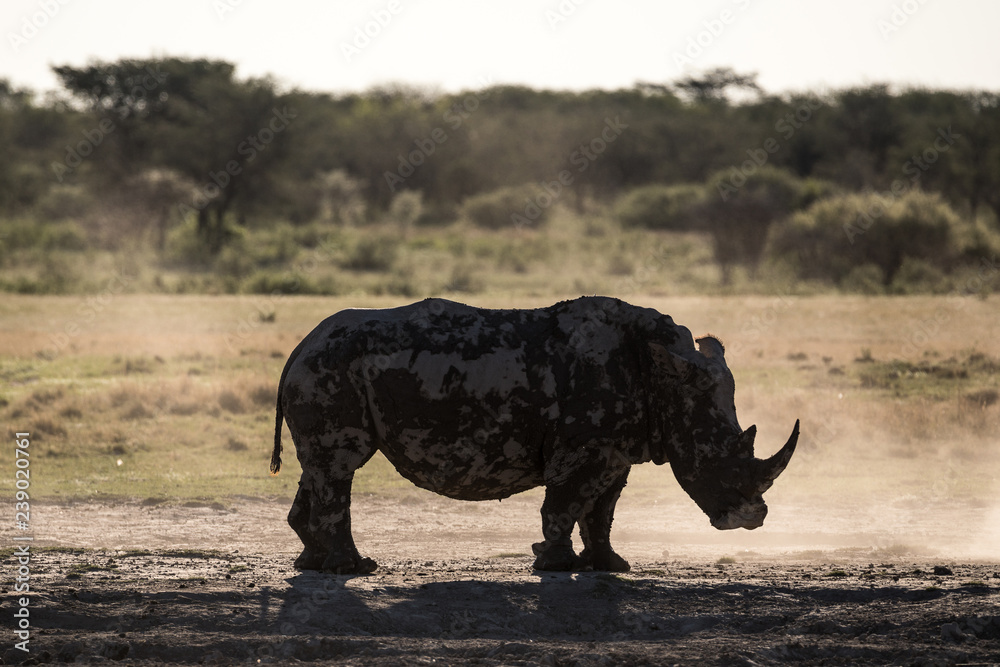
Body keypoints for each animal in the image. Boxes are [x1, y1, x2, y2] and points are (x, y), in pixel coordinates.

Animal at [271, 296, 798, 574]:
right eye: (716, 456)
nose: (753, 519)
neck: (663, 374)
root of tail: (301, 344)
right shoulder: (585, 447)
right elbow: (565, 503)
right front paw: (555, 565)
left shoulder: (616, 450)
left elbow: (601, 511)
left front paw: (612, 566)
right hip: (331, 367)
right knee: (341, 465)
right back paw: (356, 569)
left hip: (328, 366)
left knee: (320, 468)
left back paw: (311, 564)